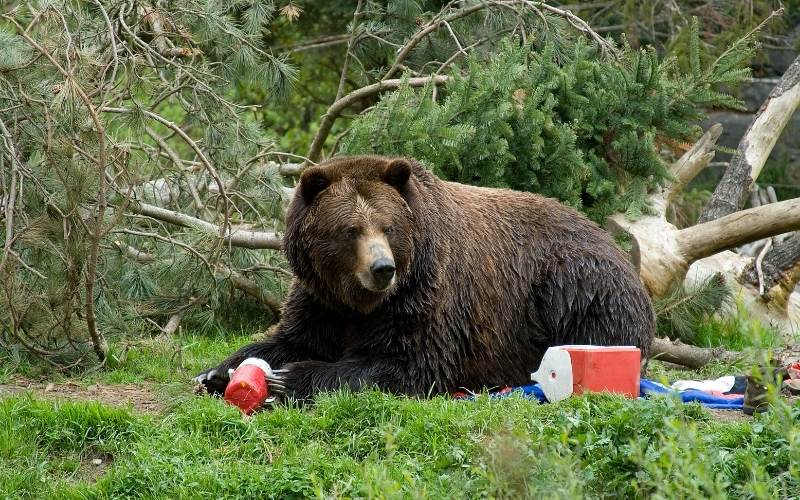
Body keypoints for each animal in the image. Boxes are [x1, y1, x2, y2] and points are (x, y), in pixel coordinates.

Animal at [195, 154, 656, 400]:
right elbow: (290, 336)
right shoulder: (319, 298)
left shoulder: (426, 295)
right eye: (350, 229)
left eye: (388, 227)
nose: (382, 269)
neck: (360, 302)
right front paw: (217, 372)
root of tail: (617, 249)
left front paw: (290, 378)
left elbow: (409, 362)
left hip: (573, 285)